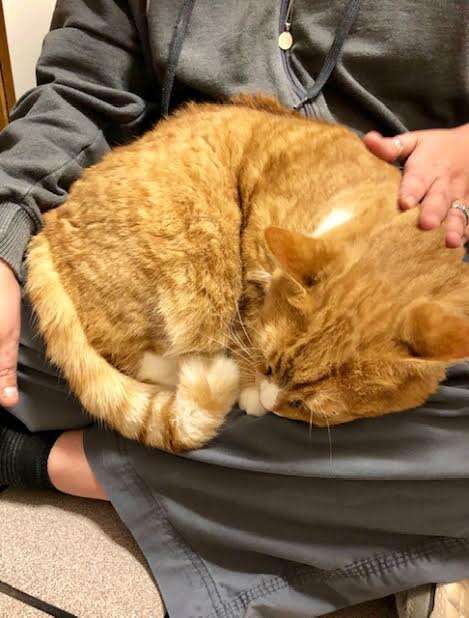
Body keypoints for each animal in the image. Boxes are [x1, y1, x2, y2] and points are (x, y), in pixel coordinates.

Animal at [24, 94, 468, 450]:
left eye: (303, 406)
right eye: (269, 366)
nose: (269, 402)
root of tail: (48, 223)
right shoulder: (253, 255)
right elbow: (249, 322)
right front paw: (249, 386)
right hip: (197, 244)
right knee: (138, 356)